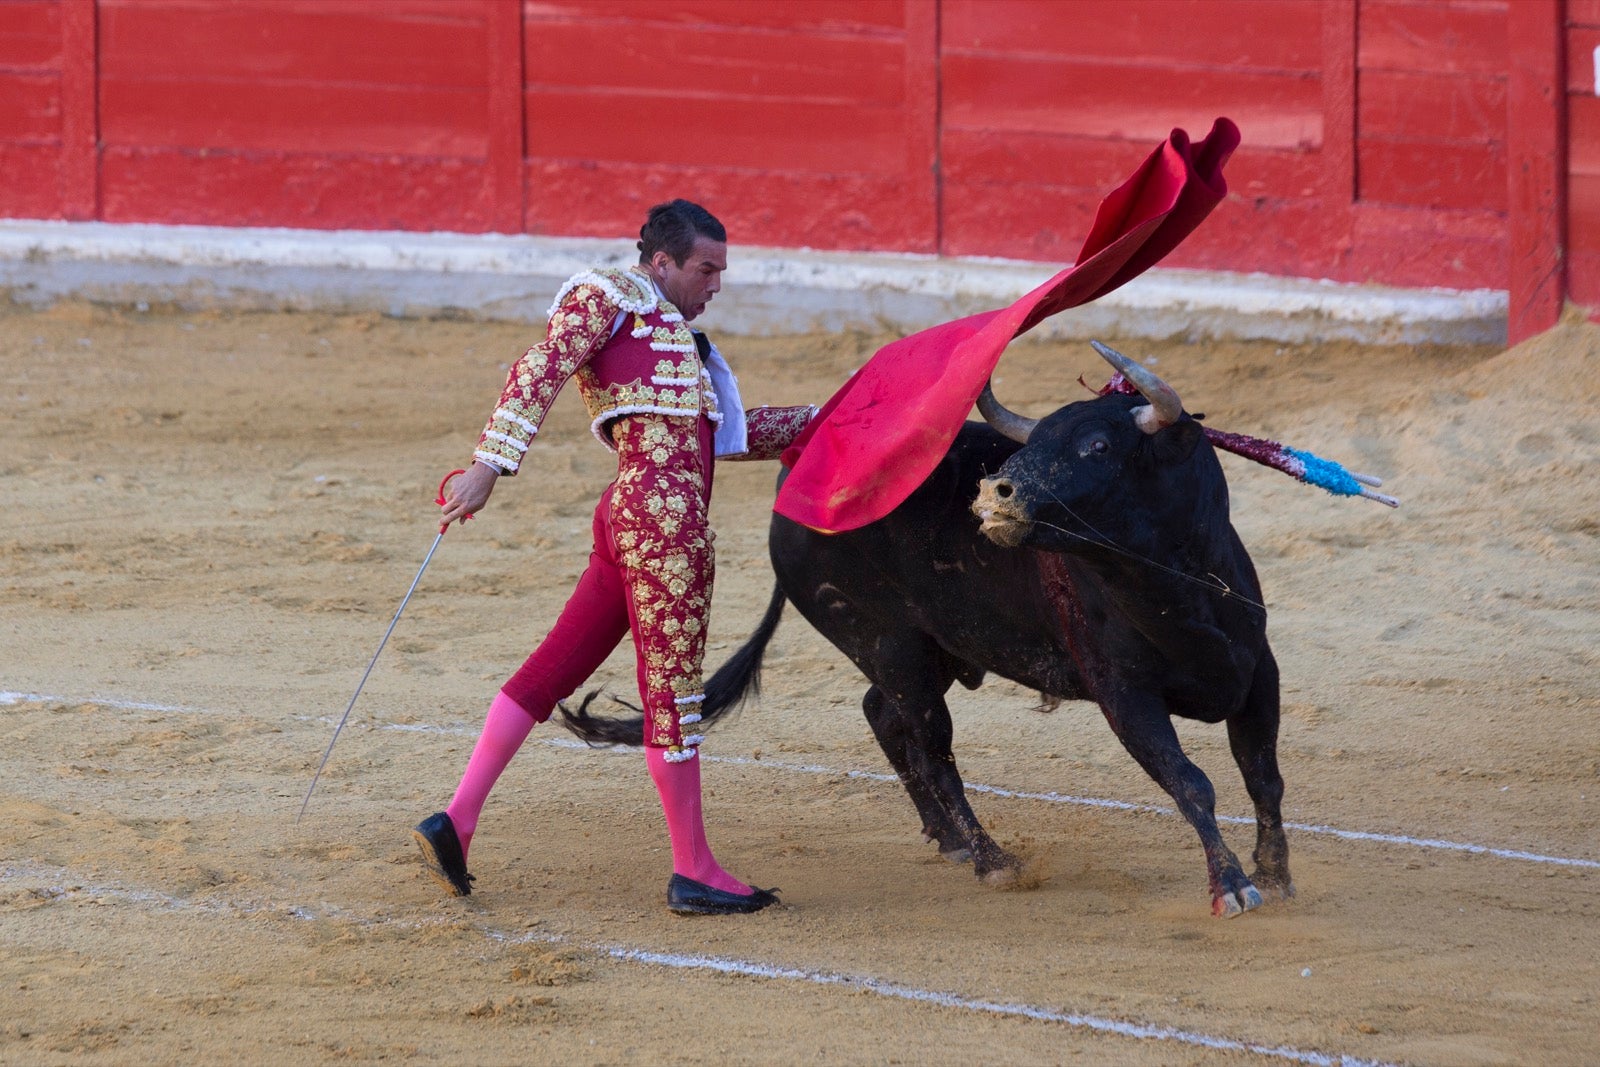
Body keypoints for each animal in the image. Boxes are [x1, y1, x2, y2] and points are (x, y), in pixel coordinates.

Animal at [560, 343, 1286, 921]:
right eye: (1035, 444)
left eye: (1098, 446)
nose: (996, 495)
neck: (1178, 587)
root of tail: (792, 485)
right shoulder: (1125, 695)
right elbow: (1191, 780)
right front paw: (1232, 886)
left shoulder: (1258, 674)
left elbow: (1262, 774)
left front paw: (1275, 871)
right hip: (890, 643)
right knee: (931, 747)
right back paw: (992, 858)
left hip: (920, 651)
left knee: (884, 714)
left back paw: (952, 839)